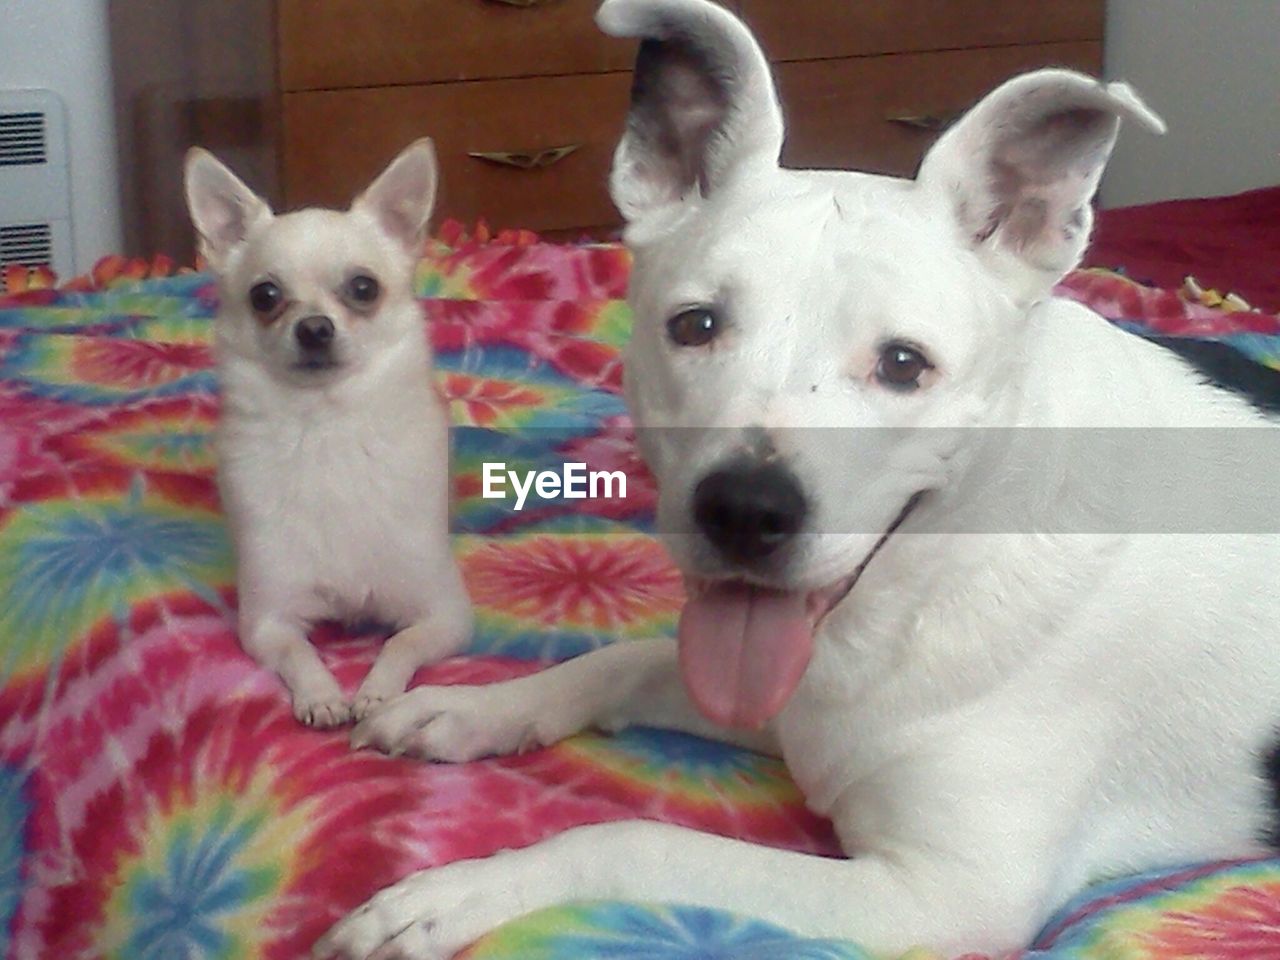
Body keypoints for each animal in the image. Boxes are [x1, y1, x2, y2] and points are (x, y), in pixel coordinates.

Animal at [314, 1, 1274, 960]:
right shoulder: (783, 701)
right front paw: (471, 709)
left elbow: (636, 840)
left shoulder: (937, 898)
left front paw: (458, 893)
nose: (745, 511)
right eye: (695, 325)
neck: (916, 590)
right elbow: (621, 660)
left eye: (903, 364)